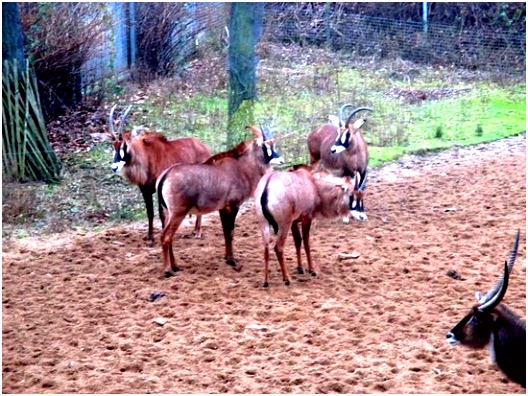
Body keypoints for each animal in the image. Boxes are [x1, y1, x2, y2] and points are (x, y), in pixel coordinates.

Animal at [91, 103, 210, 243]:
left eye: (125, 145)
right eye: (113, 146)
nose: (114, 167)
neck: (146, 157)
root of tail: (204, 147)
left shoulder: (159, 190)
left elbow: (162, 214)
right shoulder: (145, 190)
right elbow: (150, 213)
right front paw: (150, 238)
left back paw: (198, 232)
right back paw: (195, 230)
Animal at [155, 125, 282, 276]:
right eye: (265, 145)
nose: (281, 160)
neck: (241, 167)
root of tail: (166, 175)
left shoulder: (222, 209)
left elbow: (225, 232)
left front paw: (227, 258)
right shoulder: (233, 207)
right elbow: (231, 232)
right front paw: (232, 260)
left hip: (169, 213)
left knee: (169, 237)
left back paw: (175, 266)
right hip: (178, 213)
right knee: (166, 236)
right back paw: (168, 270)